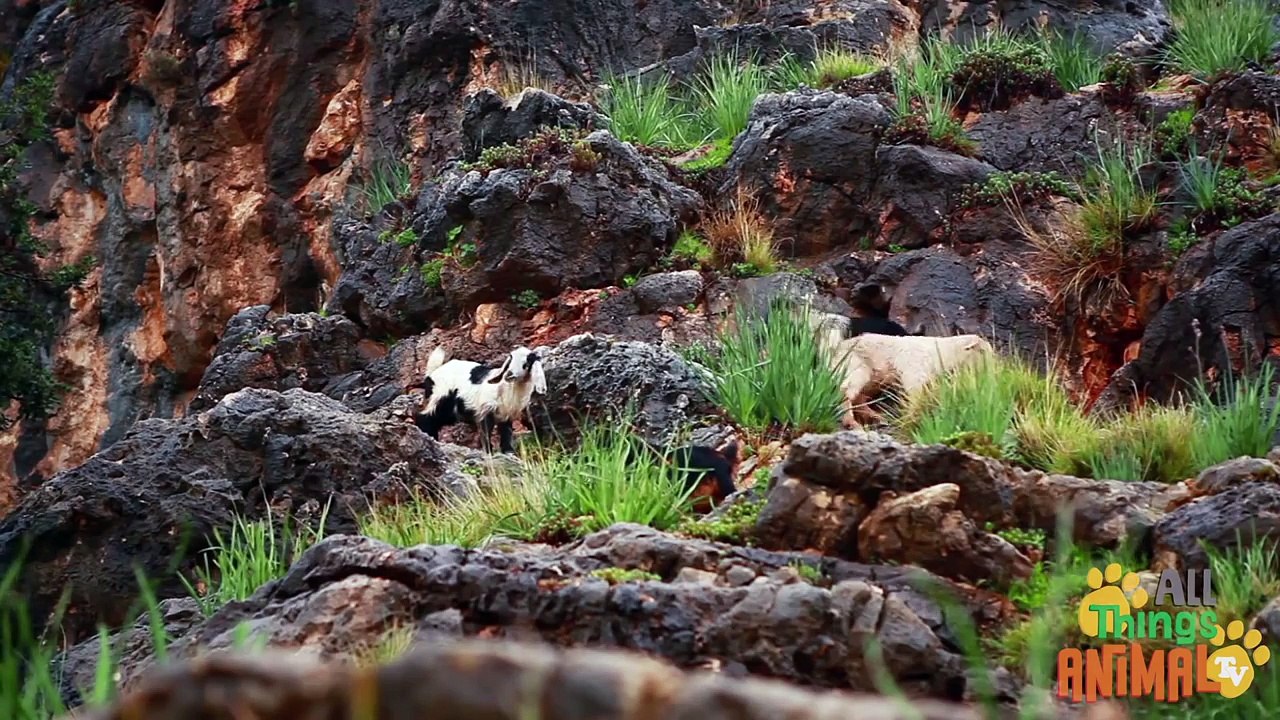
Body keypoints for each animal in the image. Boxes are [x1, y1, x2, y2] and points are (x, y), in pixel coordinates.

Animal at [407, 345, 547, 454]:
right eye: (510, 360)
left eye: (527, 363)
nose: (509, 375)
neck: (507, 389)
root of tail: (432, 373)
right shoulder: (485, 409)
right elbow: (486, 432)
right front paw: (488, 451)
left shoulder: (506, 415)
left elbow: (506, 433)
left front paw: (509, 451)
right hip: (440, 398)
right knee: (425, 417)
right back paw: (430, 437)